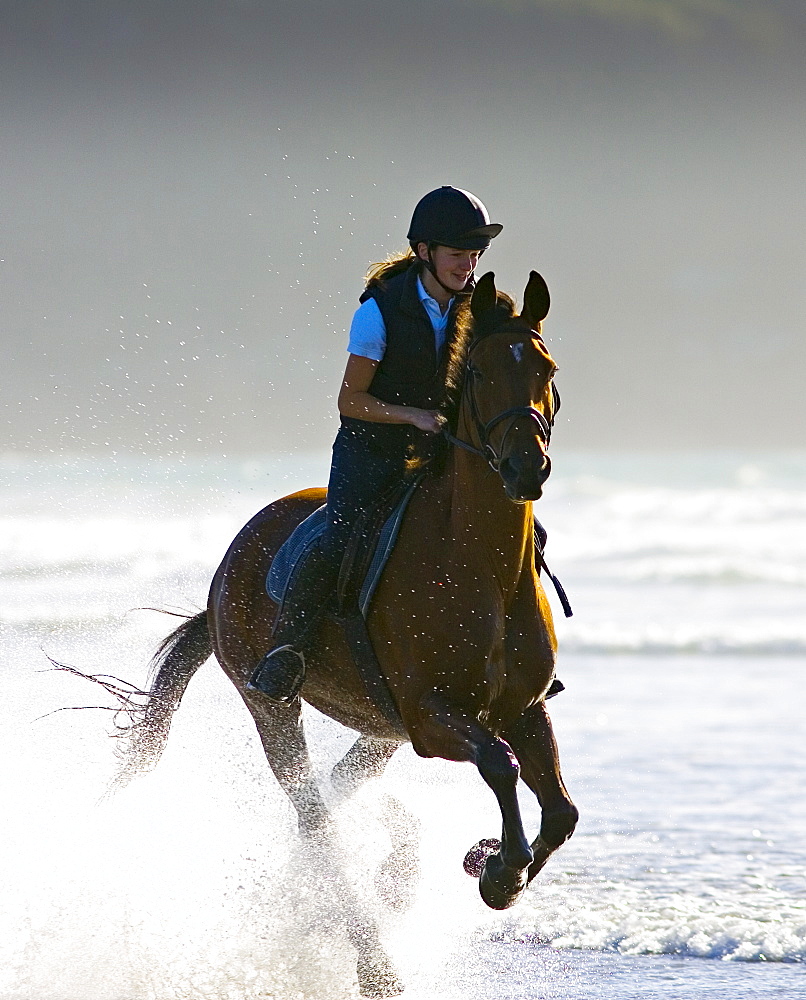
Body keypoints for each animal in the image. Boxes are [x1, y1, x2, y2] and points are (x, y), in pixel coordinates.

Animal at [115, 270, 580, 996]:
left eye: (547, 368)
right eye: (478, 372)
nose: (525, 466)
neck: (481, 564)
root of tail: (229, 560)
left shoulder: (521, 709)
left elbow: (561, 811)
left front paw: (490, 863)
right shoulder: (432, 717)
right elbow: (500, 766)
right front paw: (500, 871)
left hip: (378, 730)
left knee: (335, 797)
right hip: (274, 704)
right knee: (314, 815)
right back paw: (373, 963)